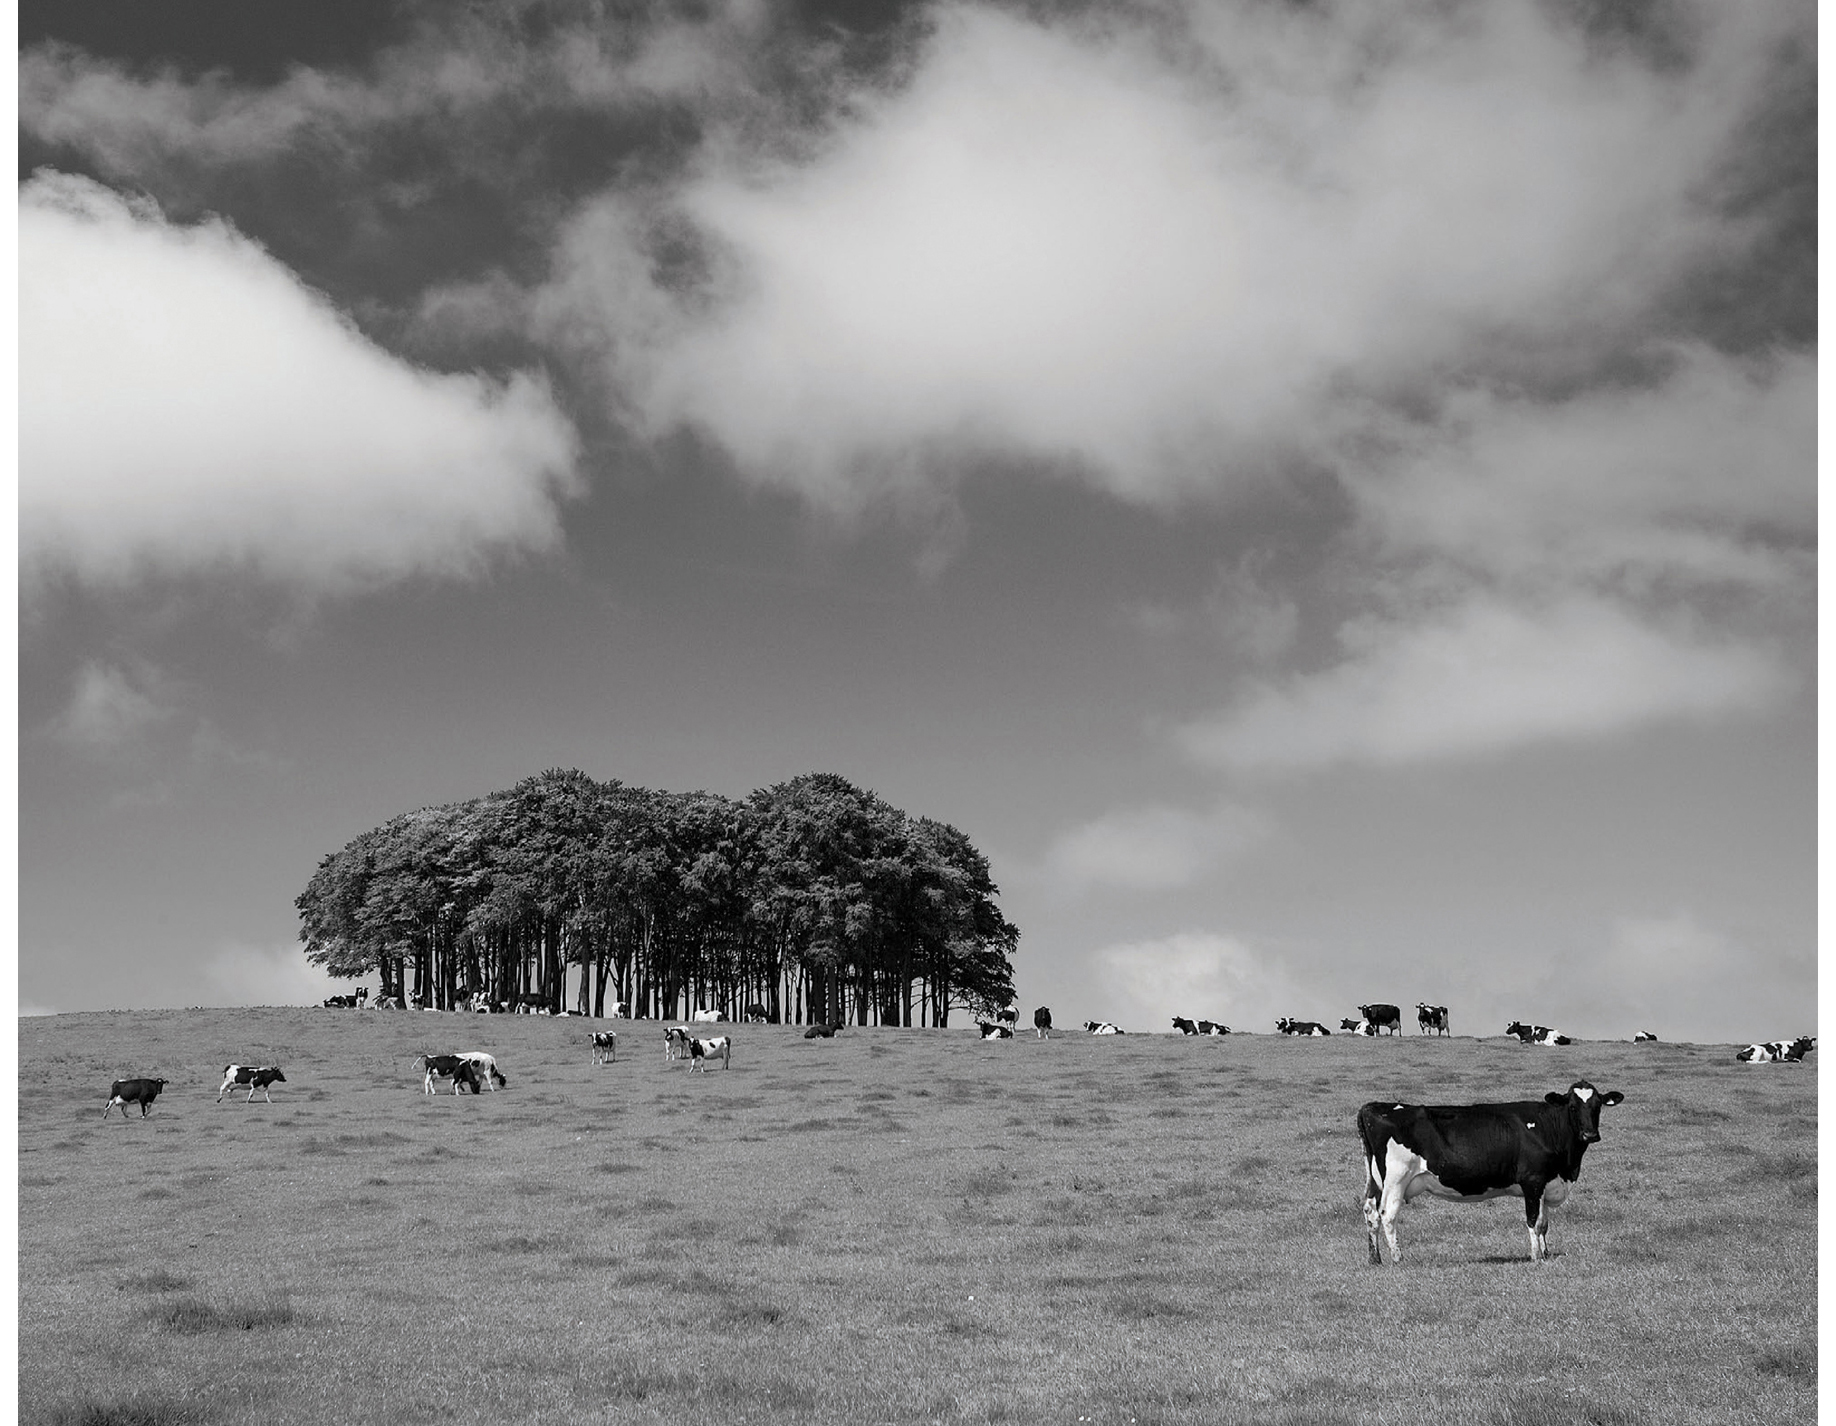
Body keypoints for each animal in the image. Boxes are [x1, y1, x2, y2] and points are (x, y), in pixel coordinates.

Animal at [1358, 1071, 1630, 1262]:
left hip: (1376, 1180)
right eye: (1572, 1106)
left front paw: (1546, 1253)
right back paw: (1397, 1258)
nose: (1590, 1134)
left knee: (1370, 1211)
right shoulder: (1532, 1181)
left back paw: (1375, 1258)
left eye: (1597, 1106)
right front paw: (1536, 1257)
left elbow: (1544, 1223)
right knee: (1388, 1214)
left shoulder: (1546, 1182)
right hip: (1397, 1178)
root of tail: (1374, 1106)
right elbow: (1533, 1220)